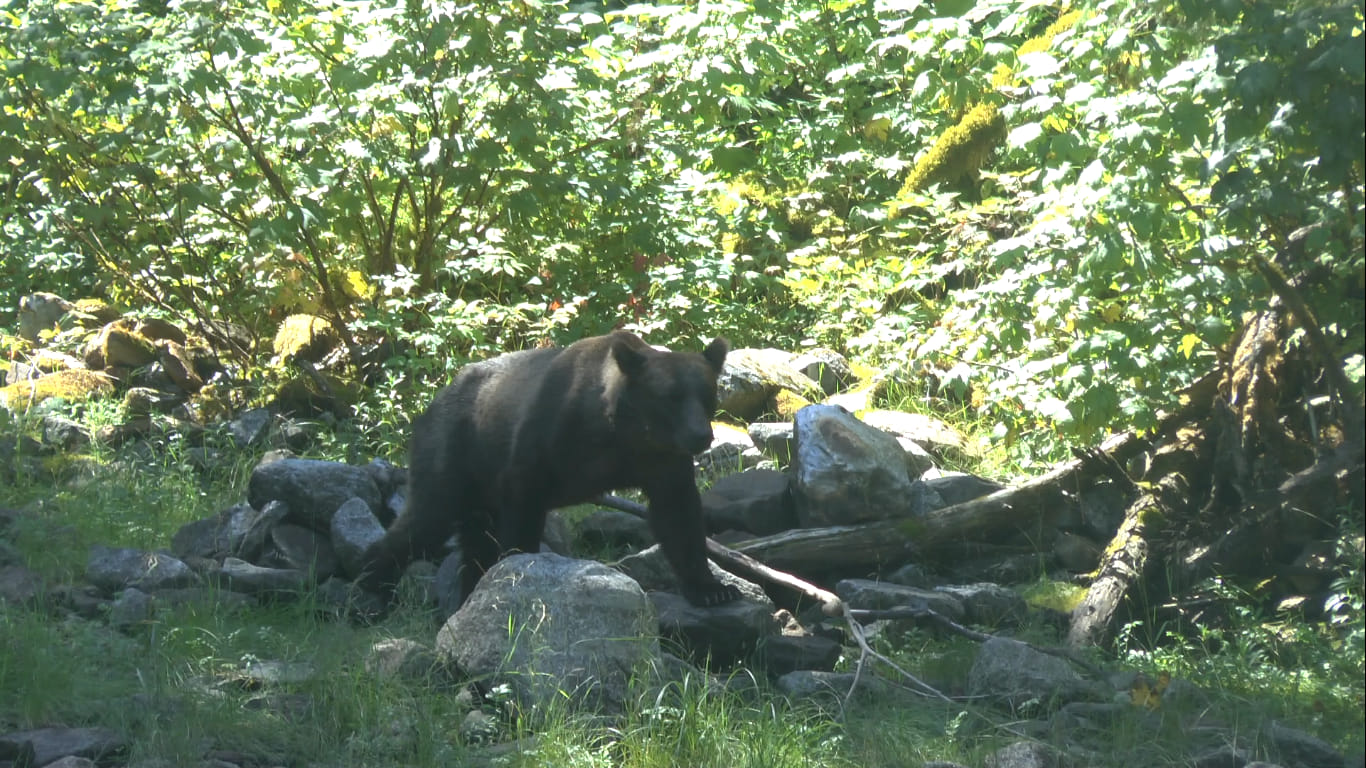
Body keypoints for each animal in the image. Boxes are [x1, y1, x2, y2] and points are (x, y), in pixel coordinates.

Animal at [357, 331, 743, 608]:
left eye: (707, 393)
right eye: (671, 396)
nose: (701, 435)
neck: (620, 431)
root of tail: (434, 400)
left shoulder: (660, 461)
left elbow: (678, 515)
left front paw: (714, 589)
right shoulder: (547, 441)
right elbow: (522, 504)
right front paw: (518, 569)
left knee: (473, 537)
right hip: (456, 448)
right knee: (428, 518)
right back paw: (370, 584)